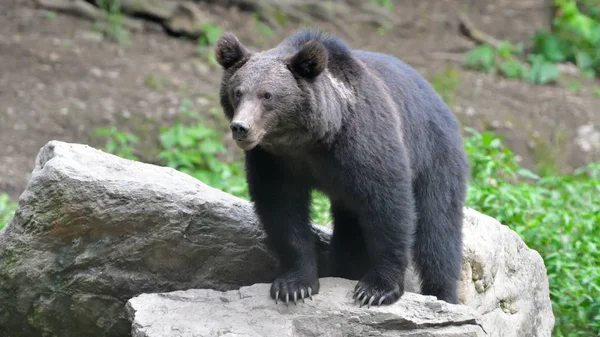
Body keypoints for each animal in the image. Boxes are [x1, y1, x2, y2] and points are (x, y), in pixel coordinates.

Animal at [214, 30, 468, 306]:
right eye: (238, 92)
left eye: (267, 95)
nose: (241, 127)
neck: (310, 140)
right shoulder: (273, 161)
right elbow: (282, 212)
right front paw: (294, 286)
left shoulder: (363, 144)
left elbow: (388, 208)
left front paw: (376, 289)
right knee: (350, 226)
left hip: (434, 156)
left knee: (438, 228)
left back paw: (443, 294)